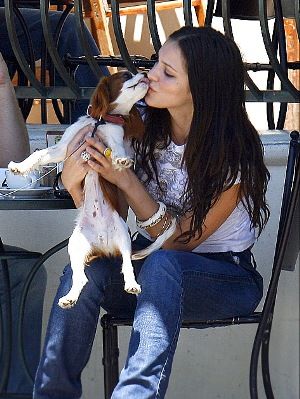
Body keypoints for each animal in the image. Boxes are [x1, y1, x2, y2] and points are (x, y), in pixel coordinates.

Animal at [8, 72, 177, 310]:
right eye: (125, 75)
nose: (144, 73)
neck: (102, 121)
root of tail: (103, 245)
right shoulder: (64, 148)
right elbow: (38, 155)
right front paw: (19, 167)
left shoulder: (116, 139)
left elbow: (116, 149)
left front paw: (120, 160)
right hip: (75, 245)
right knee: (81, 278)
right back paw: (69, 298)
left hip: (123, 237)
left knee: (127, 267)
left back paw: (132, 285)